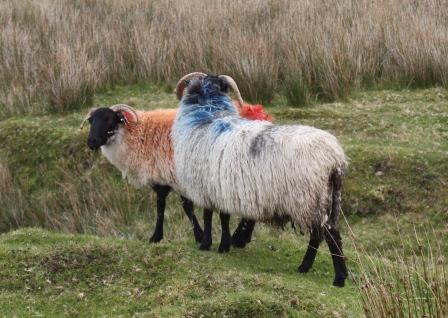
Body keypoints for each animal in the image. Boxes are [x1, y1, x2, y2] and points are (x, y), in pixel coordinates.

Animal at [79, 98, 270, 247]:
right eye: (91, 121)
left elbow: (174, 207)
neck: (136, 134)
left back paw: (239, 238)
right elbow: (171, 206)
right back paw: (241, 237)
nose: (91, 141)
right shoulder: (165, 177)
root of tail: (257, 112)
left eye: (108, 119)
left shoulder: (171, 177)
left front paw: (162, 236)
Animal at [172, 73, 350, 286]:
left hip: (308, 199)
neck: (208, 117)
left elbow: (209, 216)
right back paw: (327, 271)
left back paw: (329, 275)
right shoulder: (223, 188)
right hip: (329, 197)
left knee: (322, 234)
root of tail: (334, 158)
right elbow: (224, 217)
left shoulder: (207, 186)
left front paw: (207, 244)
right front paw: (224, 244)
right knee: (331, 231)